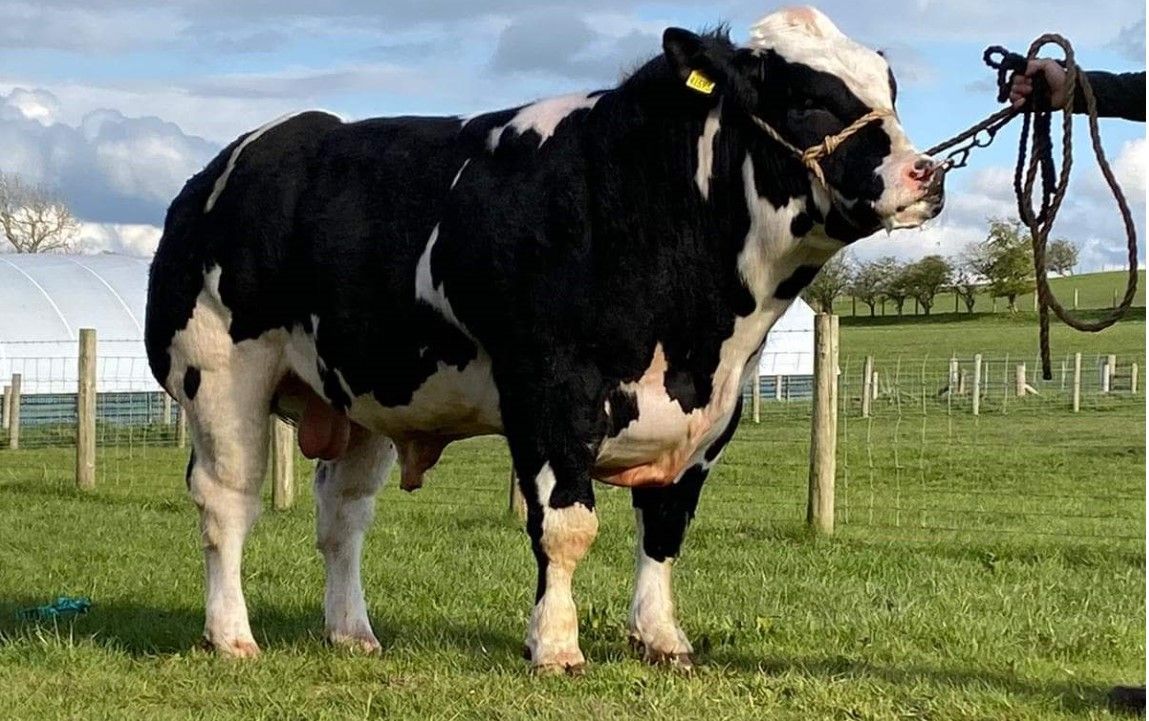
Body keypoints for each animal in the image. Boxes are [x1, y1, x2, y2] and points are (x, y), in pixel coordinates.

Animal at [145, 6, 944, 674]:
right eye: (808, 100)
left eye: (890, 91)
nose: (926, 173)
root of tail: (236, 159)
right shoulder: (550, 393)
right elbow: (566, 527)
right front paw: (555, 645)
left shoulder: (716, 410)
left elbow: (665, 527)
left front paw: (661, 638)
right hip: (219, 378)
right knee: (226, 502)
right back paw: (232, 635)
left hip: (362, 394)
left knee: (341, 514)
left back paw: (352, 632)